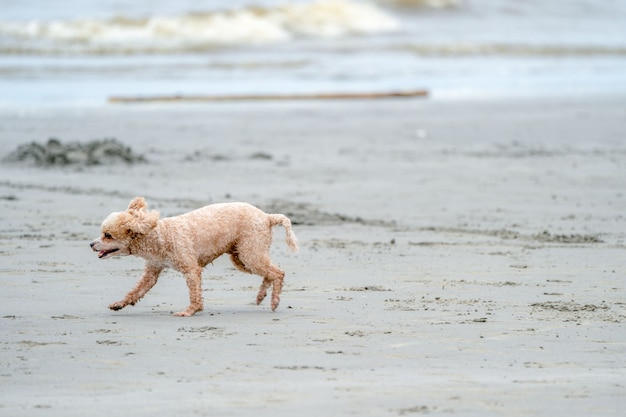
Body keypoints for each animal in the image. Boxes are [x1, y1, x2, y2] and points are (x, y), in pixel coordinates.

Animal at [88, 197, 300, 316]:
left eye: (107, 235)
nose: (91, 244)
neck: (158, 235)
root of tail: (267, 216)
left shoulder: (191, 269)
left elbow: (194, 294)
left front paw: (190, 311)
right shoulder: (153, 270)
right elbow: (137, 291)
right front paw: (119, 304)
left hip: (250, 252)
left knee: (277, 273)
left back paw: (274, 301)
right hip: (242, 257)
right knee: (270, 273)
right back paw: (261, 296)